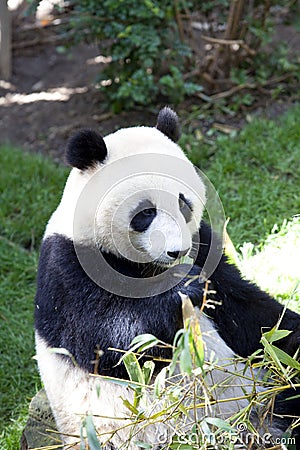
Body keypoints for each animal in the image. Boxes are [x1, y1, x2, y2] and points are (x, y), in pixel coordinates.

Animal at [33, 107, 300, 448]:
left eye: (183, 202)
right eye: (146, 212)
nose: (177, 251)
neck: (150, 267)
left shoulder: (205, 246)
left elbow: (252, 313)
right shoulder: (68, 266)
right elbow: (111, 341)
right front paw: (185, 288)